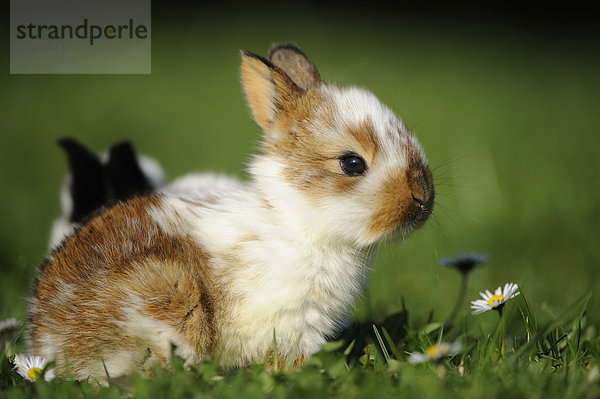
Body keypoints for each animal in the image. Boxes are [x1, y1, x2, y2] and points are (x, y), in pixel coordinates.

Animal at [28, 43, 434, 382]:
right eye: (352, 163)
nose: (423, 199)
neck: (298, 221)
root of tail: (46, 341)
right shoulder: (291, 324)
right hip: (167, 299)